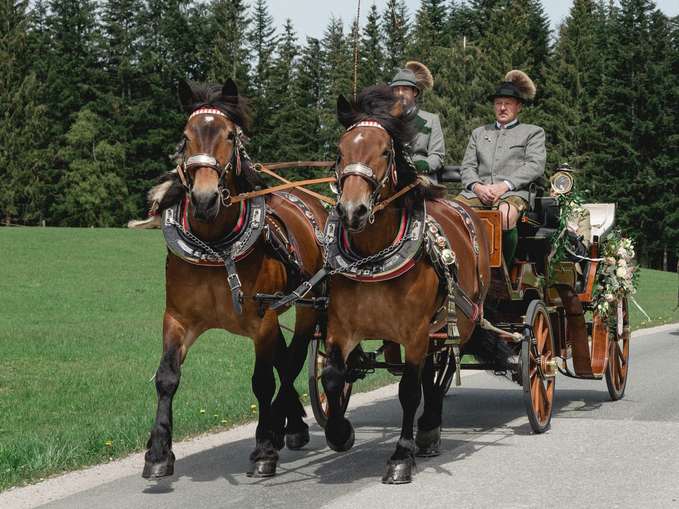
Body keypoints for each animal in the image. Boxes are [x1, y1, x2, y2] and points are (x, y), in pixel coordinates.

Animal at [142, 81, 328, 478]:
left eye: (230, 135)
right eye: (186, 136)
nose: (204, 198)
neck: (216, 246)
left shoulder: (263, 320)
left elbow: (263, 381)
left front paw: (264, 447)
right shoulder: (177, 318)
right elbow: (166, 377)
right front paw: (159, 450)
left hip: (307, 306)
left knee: (290, 362)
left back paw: (280, 428)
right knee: (284, 359)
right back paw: (294, 426)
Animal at [322, 87, 492, 484]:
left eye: (385, 151)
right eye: (340, 150)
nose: (352, 210)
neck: (373, 258)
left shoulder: (414, 332)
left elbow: (409, 391)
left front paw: (401, 454)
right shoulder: (341, 327)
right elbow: (333, 377)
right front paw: (339, 432)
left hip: (458, 321)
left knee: (440, 373)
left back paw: (428, 428)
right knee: (433, 371)